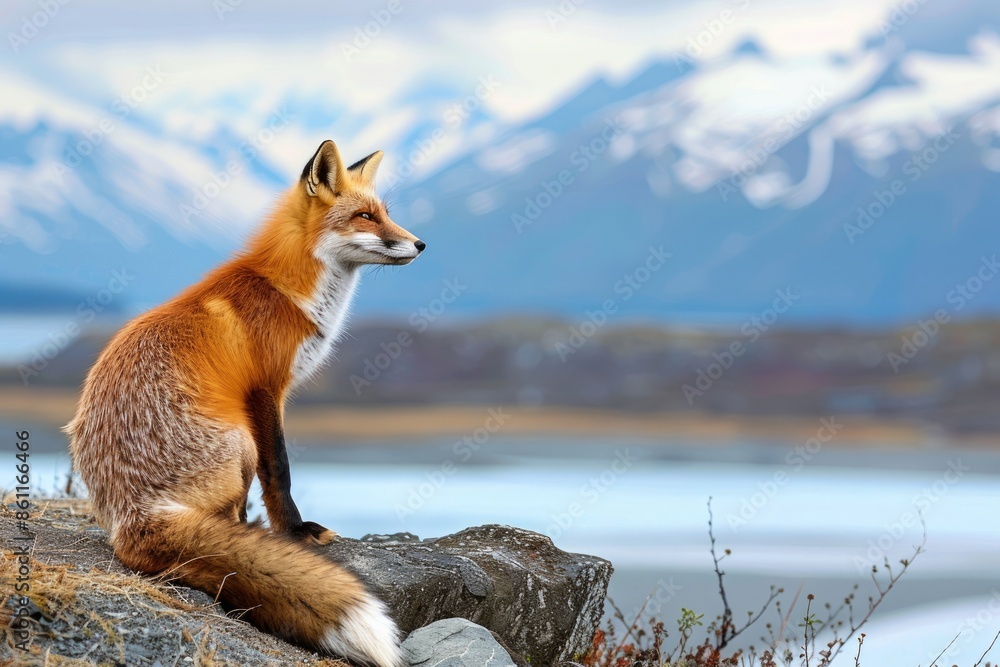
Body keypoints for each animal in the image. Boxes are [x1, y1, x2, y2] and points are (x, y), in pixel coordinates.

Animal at [65, 140, 424, 666]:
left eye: (385, 214)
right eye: (364, 217)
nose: (420, 244)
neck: (289, 292)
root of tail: (132, 513)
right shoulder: (265, 392)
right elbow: (280, 470)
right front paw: (295, 534)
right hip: (240, 443)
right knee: (223, 518)